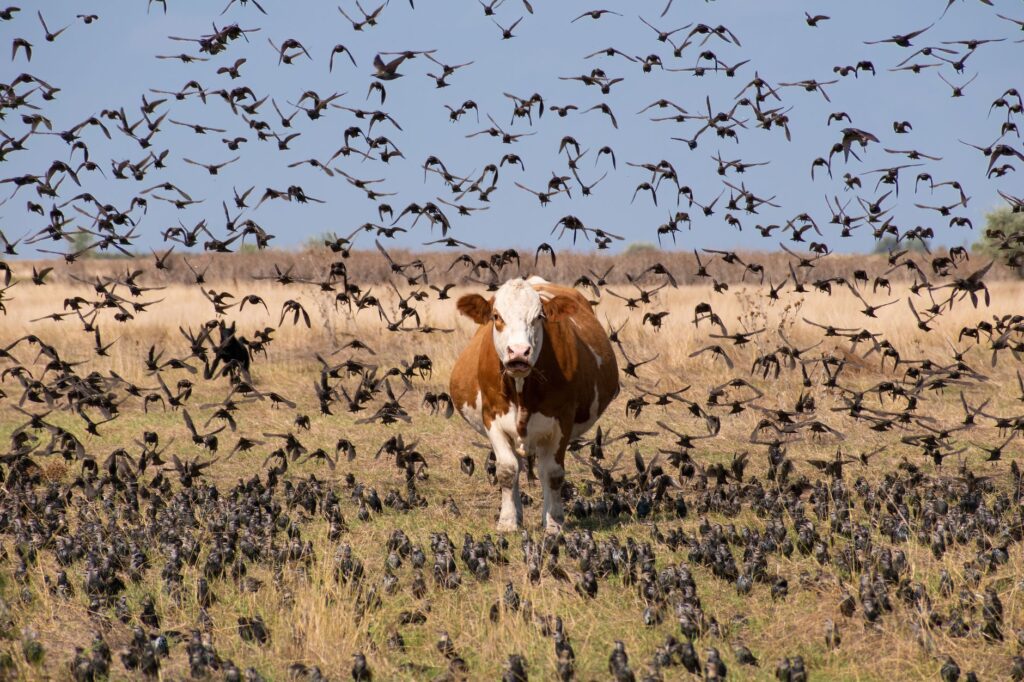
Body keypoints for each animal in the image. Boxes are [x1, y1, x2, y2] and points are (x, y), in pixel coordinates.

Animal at [449, 276, 619, 533]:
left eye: (539, 317)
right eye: (496, 316)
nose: (519, 352)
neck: (521, 390)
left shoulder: (562, 421)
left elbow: (552, 473)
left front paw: (554, 522)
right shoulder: (492, 418)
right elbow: (507, 470)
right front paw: (508, 522)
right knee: (518, 465)